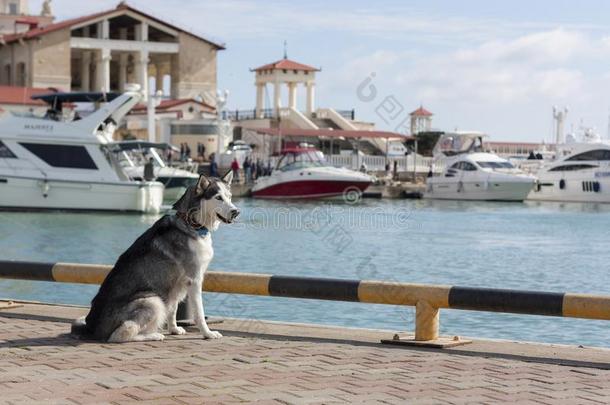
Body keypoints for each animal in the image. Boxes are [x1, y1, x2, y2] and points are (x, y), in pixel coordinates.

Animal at [70, 172, 238, 342]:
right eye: (218, 198)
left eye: (230, 197)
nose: (236, 212)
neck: (190, 223)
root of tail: (90, 328)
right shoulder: (194, 279)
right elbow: (199, 313)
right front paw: (207, 333)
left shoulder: (177, 284)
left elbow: (173, 309)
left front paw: (174, 329)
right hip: (152, 300)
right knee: (122, 334)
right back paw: (153, 335)